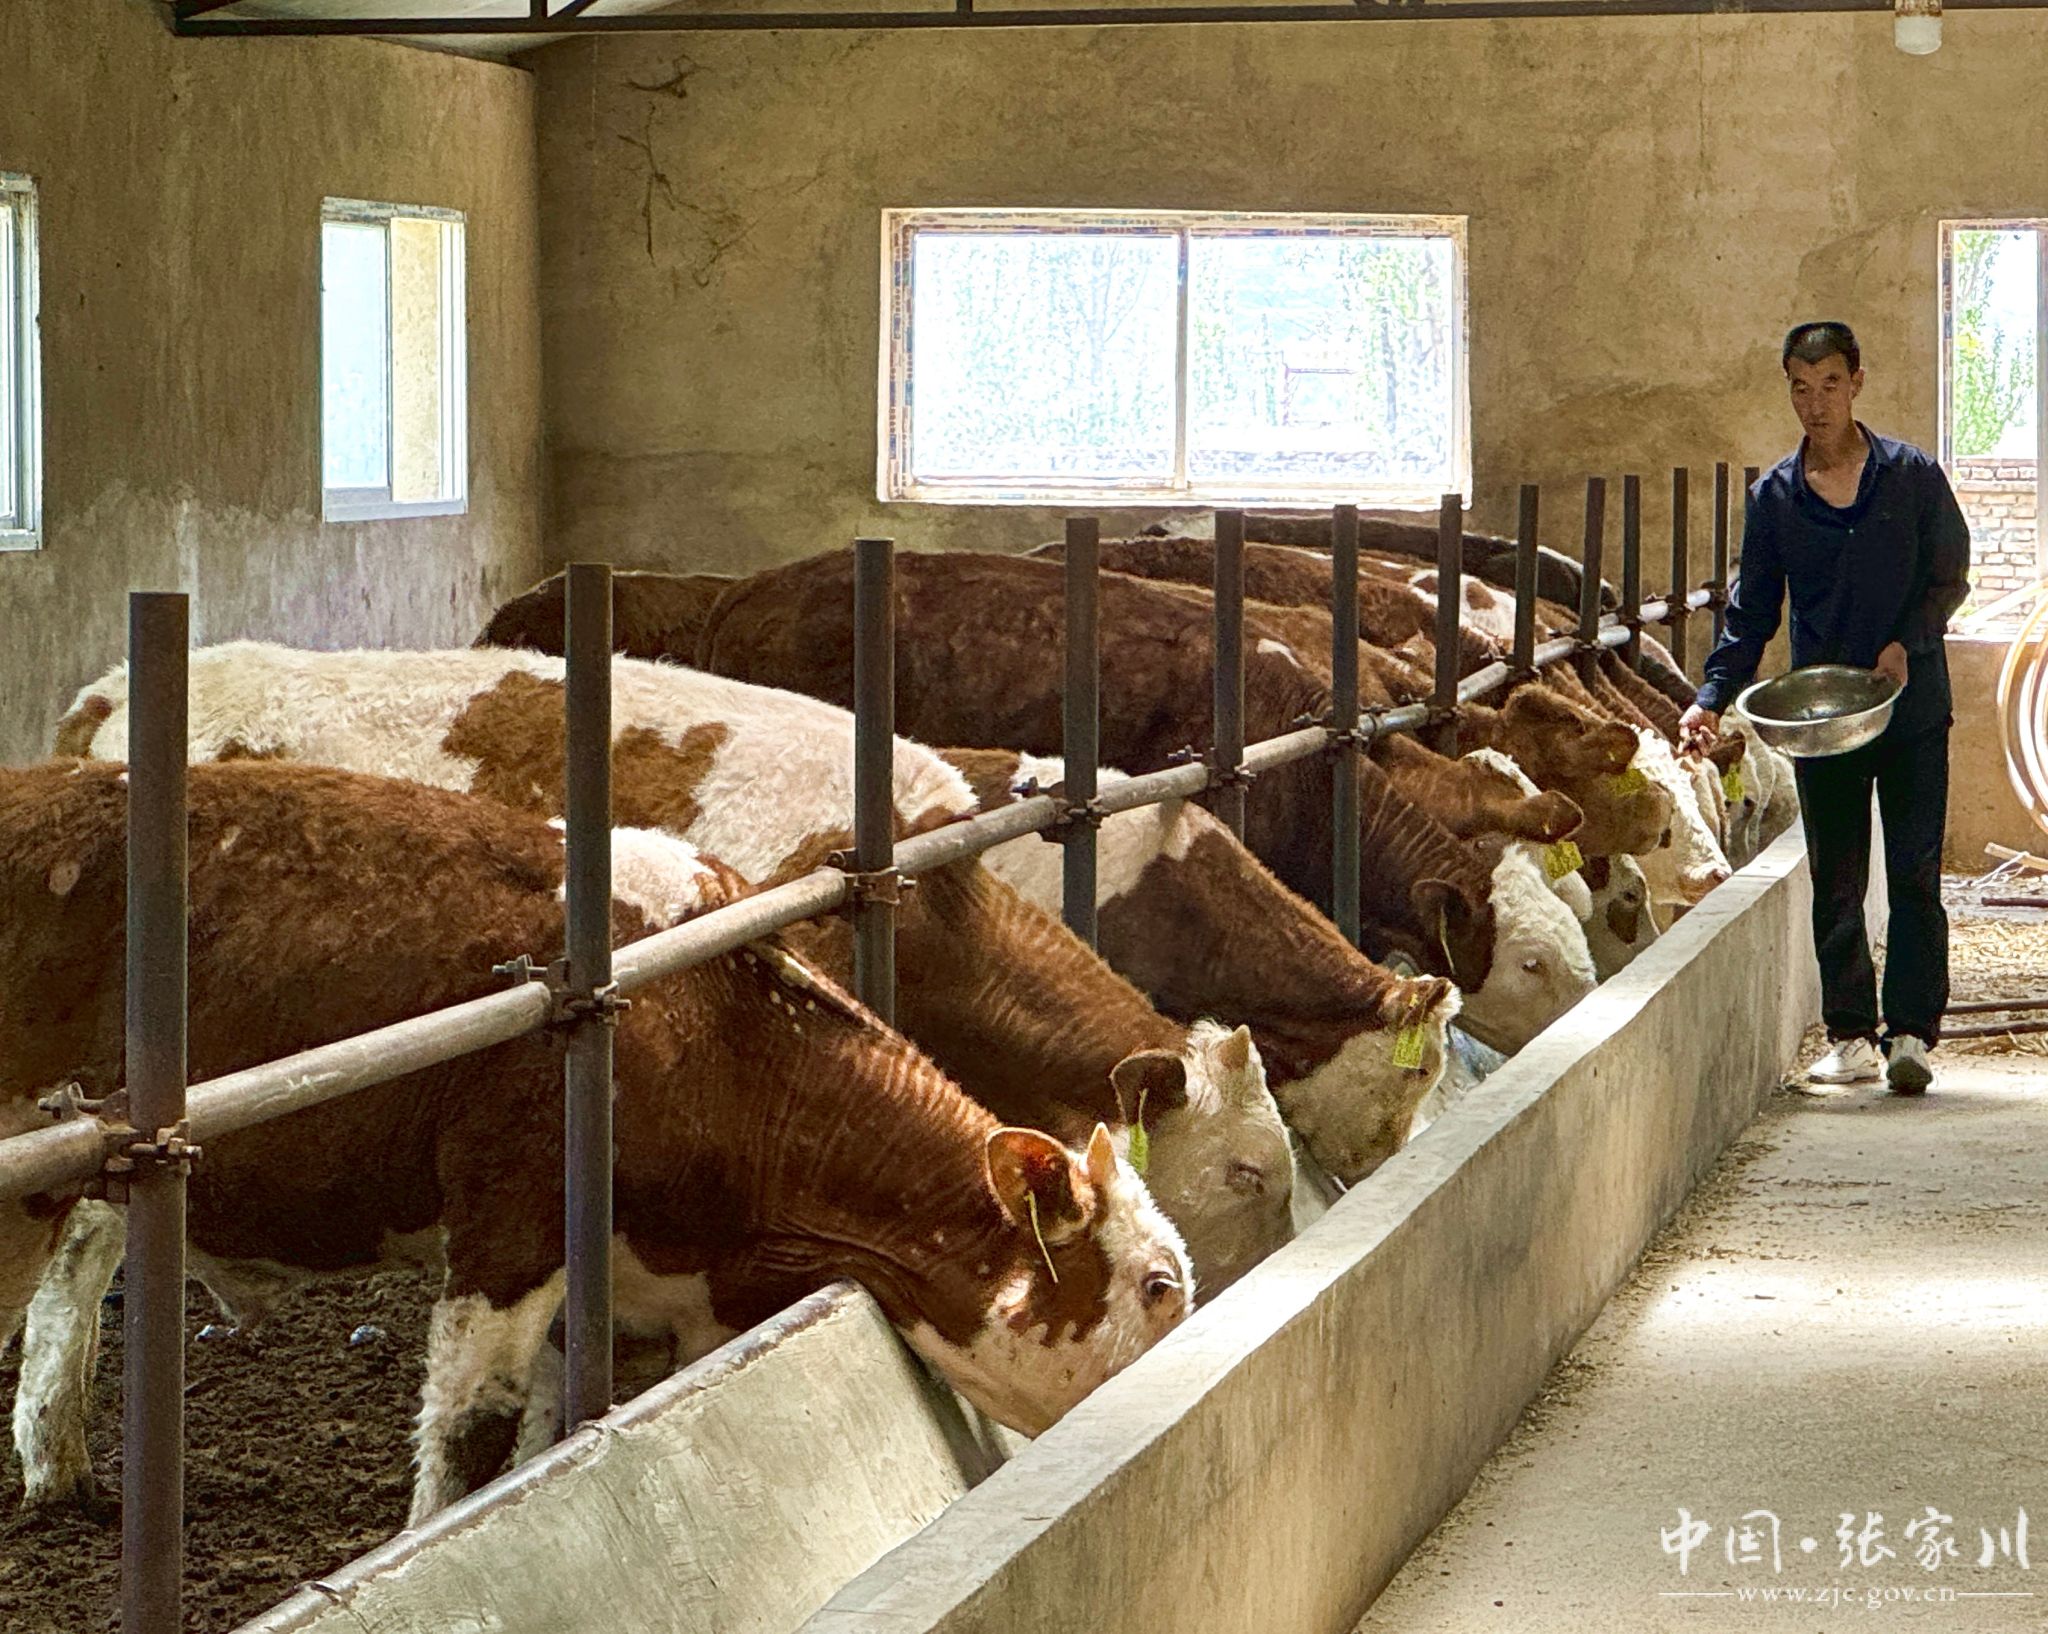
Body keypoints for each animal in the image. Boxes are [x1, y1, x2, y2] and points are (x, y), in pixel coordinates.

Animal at [1, 761, 1192, 1519]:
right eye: (1159, 1286)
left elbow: (551, 1430)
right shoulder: (513, 1213)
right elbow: (474, 1433)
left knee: (78, 1264)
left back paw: (60, 1464)